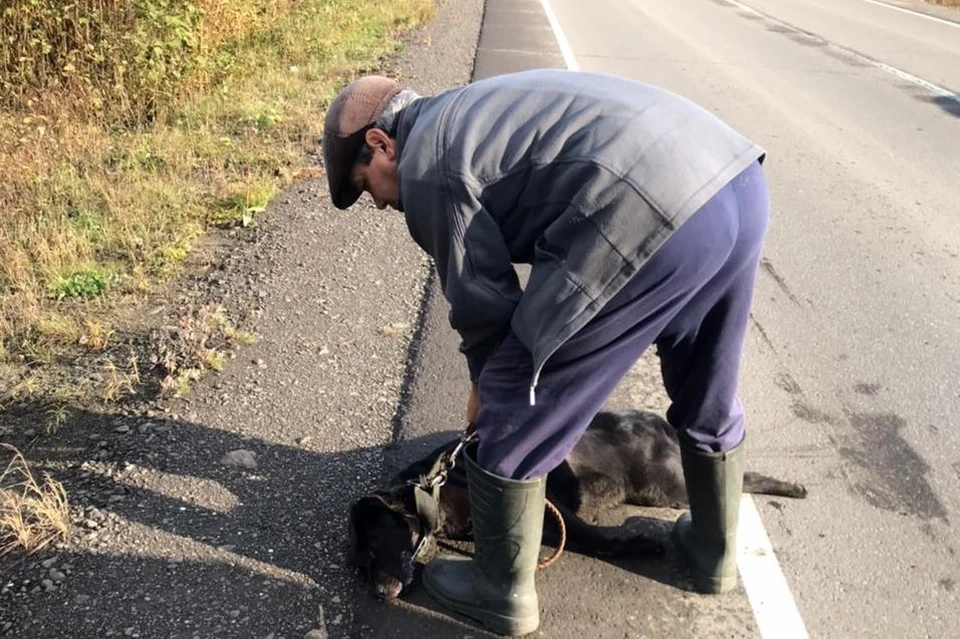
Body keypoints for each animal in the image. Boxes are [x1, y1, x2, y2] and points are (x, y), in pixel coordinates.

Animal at [348, 410, 808, 600]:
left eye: (374, 548)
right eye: (360, 566)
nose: (378, 594)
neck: (430, 490)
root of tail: (658, 421)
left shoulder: (553, 508)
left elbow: (594, 539)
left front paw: (636, 545)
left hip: (667, 484)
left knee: (744, 476)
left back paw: (793, 487)